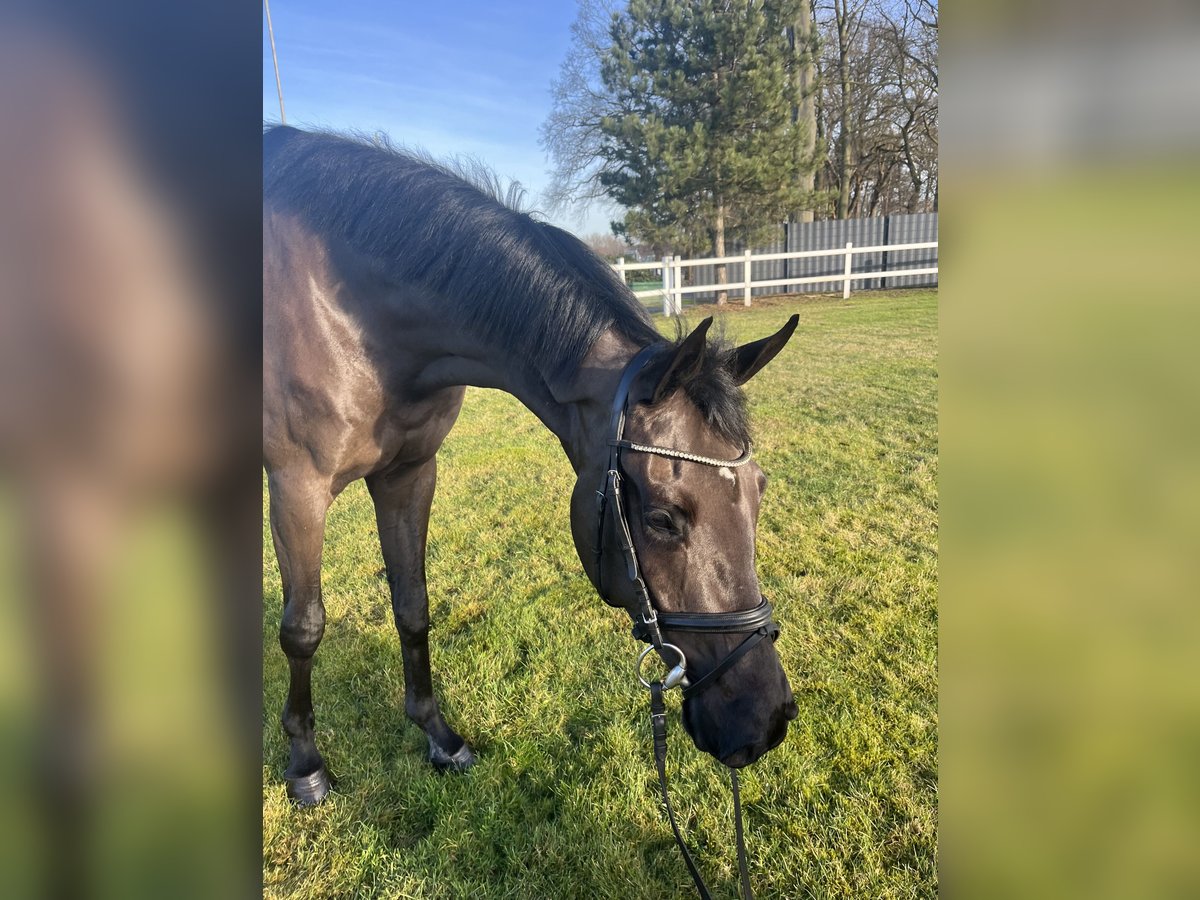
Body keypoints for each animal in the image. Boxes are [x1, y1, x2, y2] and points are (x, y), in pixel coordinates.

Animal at [267, 123, 801, 806]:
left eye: (760, 492)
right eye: (662, 518)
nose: (764, 720)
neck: (352, 314)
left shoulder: (409, 473)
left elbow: (412, 605)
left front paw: (438, 736)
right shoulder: (297, 488)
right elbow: (303, 627)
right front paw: (306, 765)